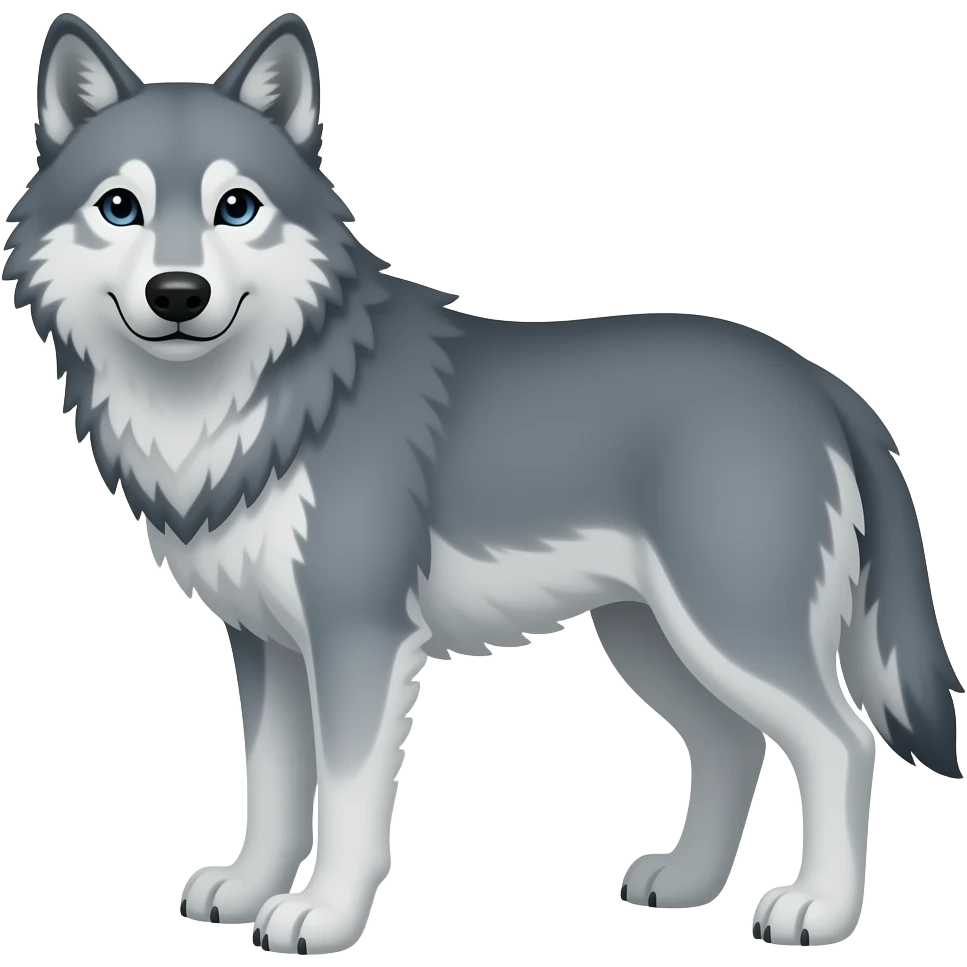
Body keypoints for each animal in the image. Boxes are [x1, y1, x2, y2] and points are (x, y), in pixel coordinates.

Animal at [2, 11, 962, 956]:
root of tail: (821, 381)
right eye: (119, 208)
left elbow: (346, 799)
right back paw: (687, 883)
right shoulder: (264, 642)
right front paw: (245, 890)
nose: (178, 293)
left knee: (840, 745)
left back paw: (817, 909)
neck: (251, 400)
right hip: (652, 638)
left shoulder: (359, 637)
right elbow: (270, 787)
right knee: (733, 745)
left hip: (729, 631)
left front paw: (322, 915)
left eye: (235, 207)